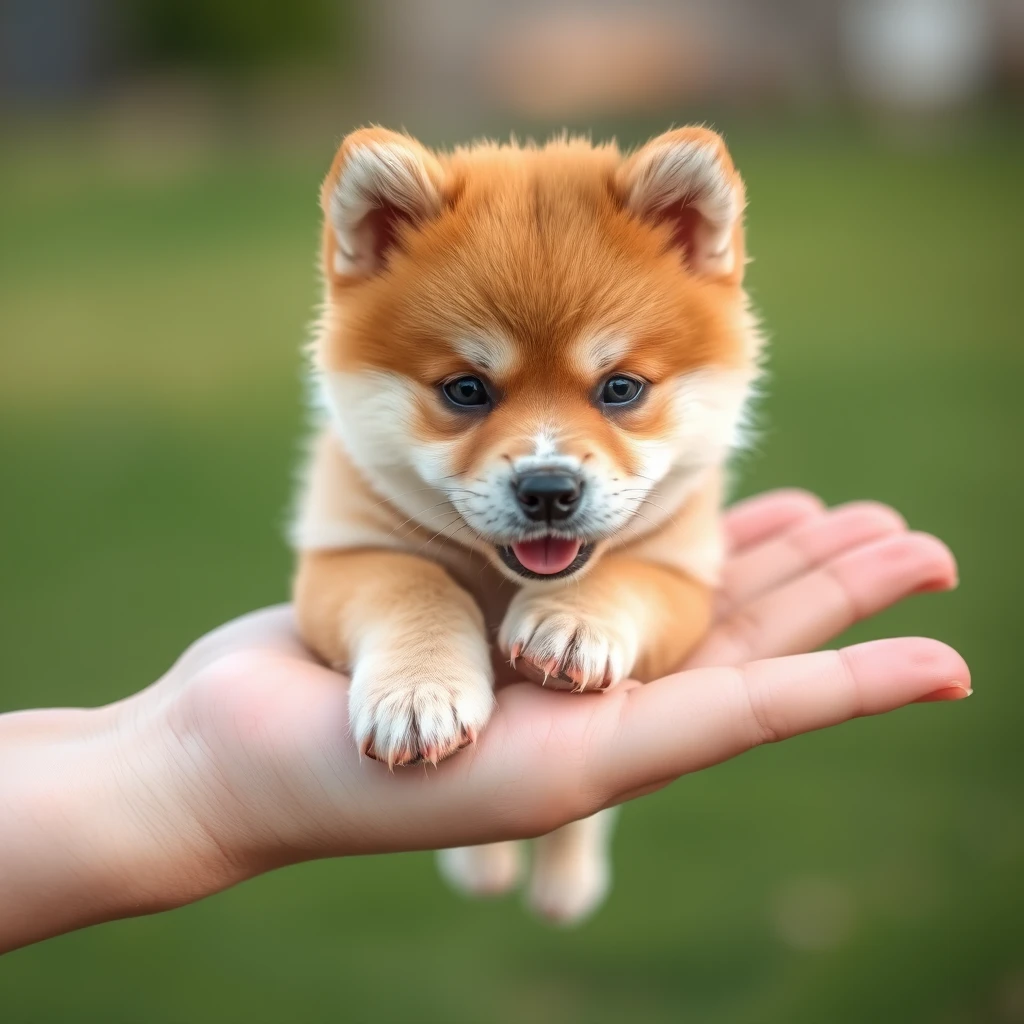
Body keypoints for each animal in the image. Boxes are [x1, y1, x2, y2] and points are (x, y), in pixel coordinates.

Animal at [292, 123, 765, 925]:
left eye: (621, 388)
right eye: (466, 390)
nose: (548, 490)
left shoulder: (680, 570)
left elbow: (620, 573)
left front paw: (570, 623)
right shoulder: (344, 552)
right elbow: (415, 584)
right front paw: (420, 690)